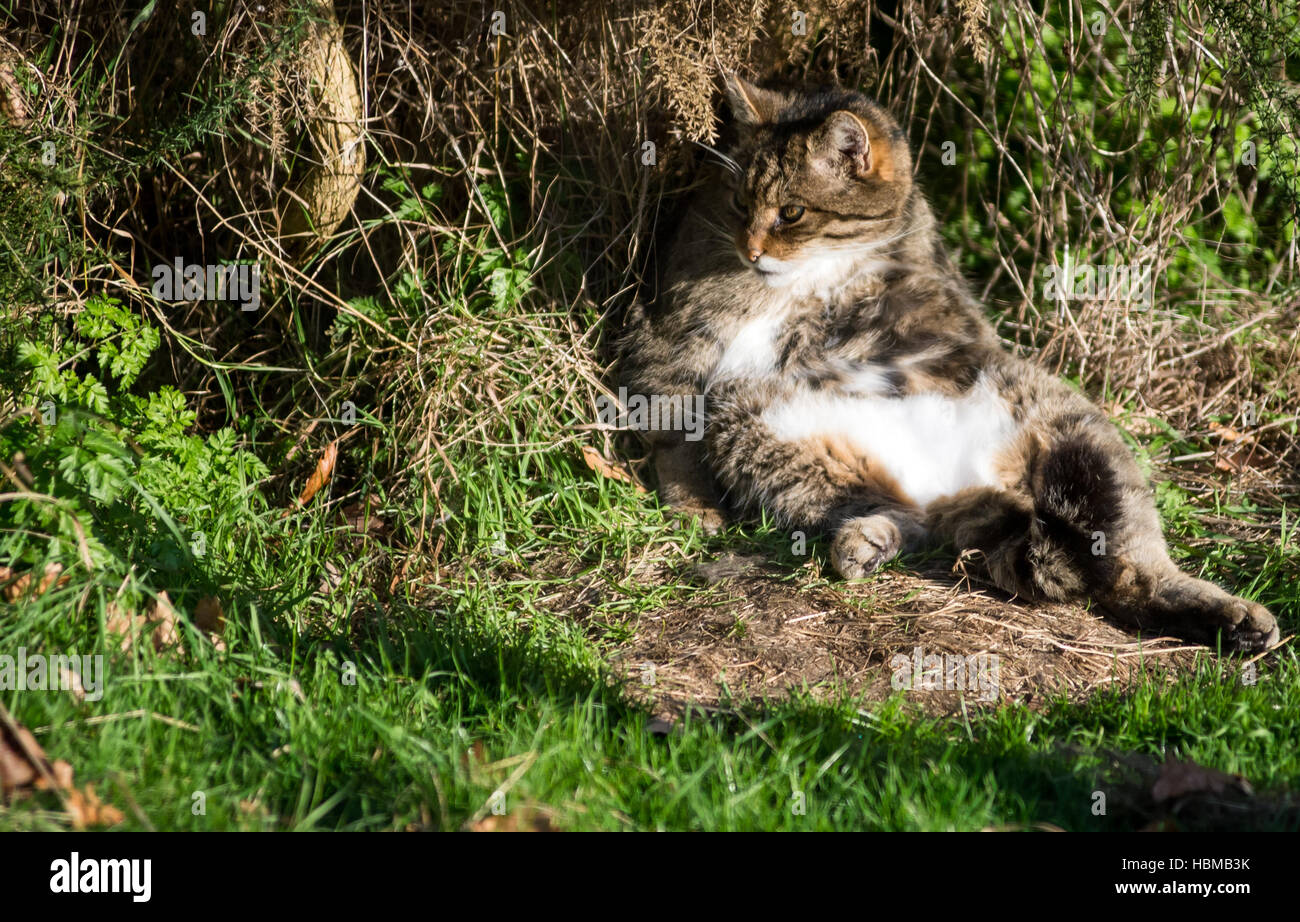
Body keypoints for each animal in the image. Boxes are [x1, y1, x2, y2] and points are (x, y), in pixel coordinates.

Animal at [618, 75, 1279, 650]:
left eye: (792, 213)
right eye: (738, 203)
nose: (750, 249)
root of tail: (970, 486)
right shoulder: (672, 338)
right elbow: (671, 432)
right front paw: (693, 505)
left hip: (1074, 428)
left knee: (1130, 572)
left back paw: (1231, 617)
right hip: (755, 426)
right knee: (911, 520)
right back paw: (865, 542)